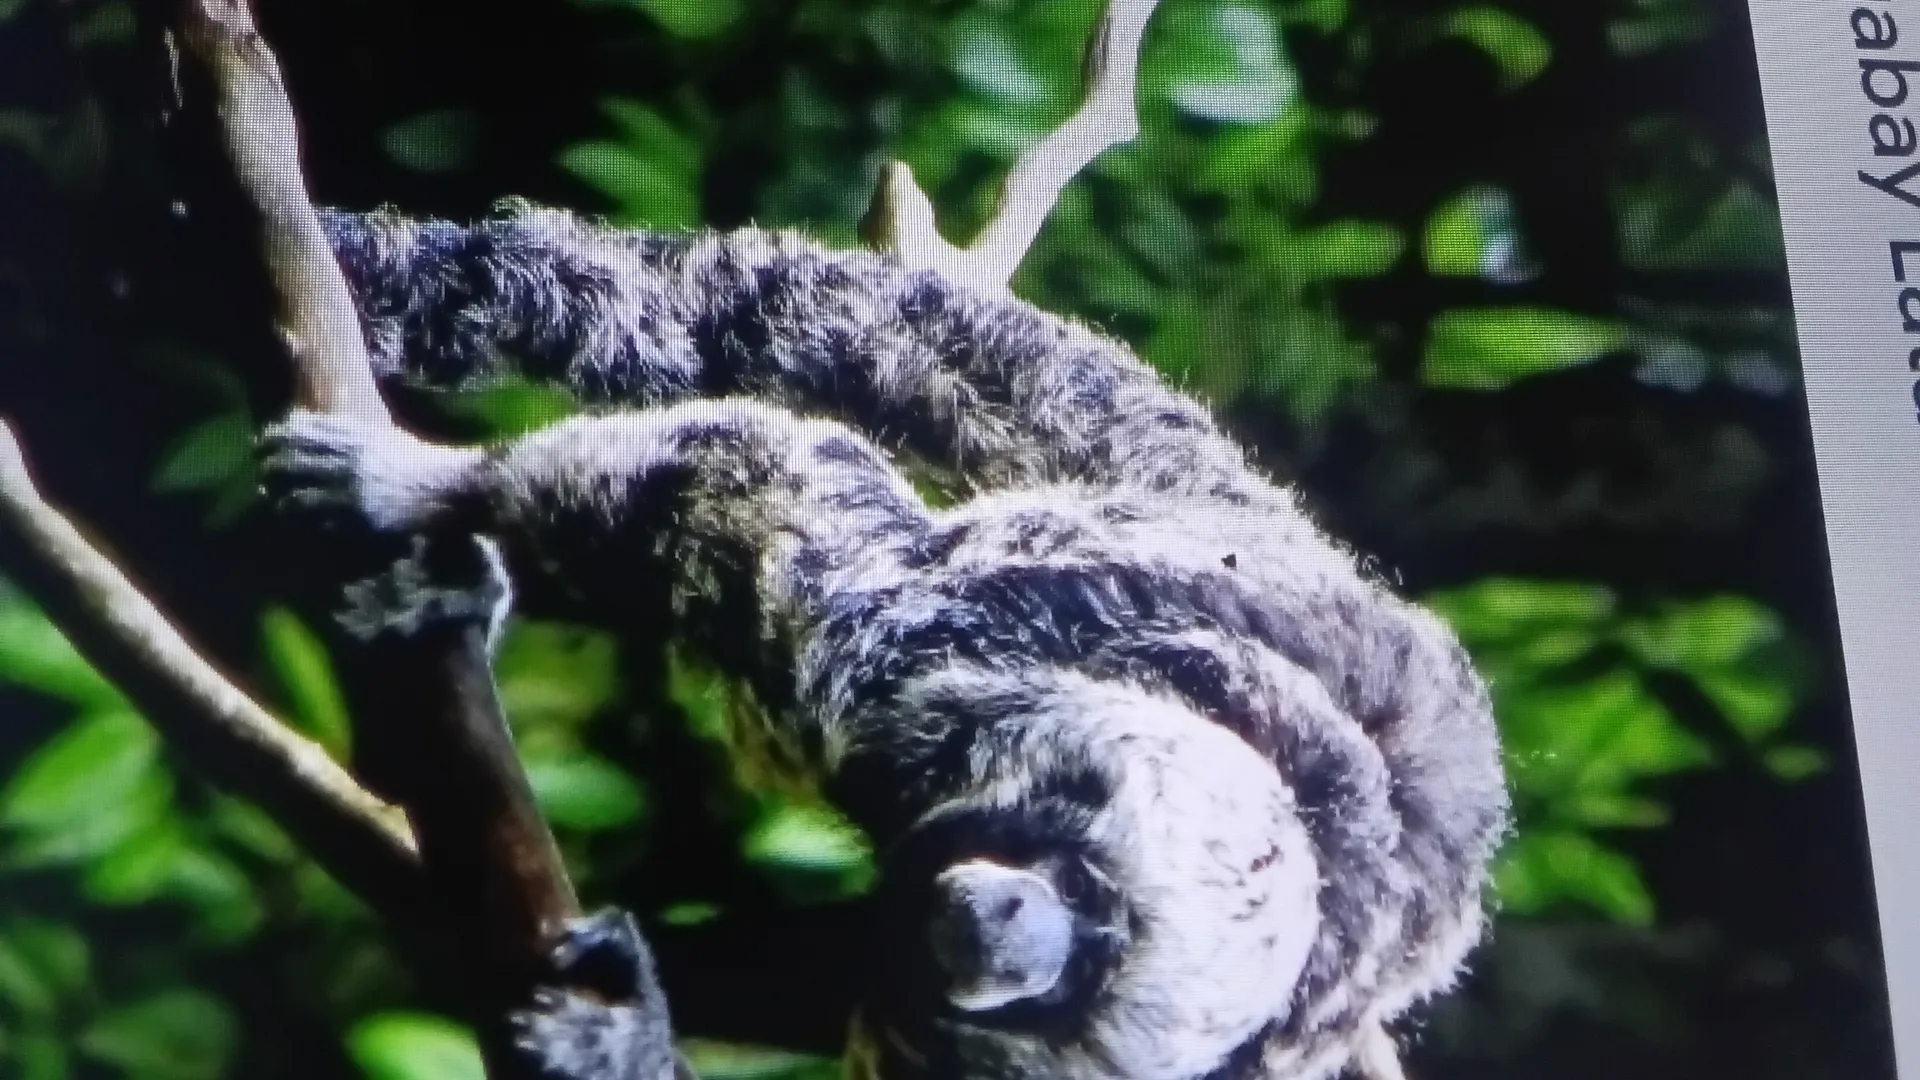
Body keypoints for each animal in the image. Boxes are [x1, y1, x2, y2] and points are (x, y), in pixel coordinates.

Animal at [259, 200, 1512, 1080]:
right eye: (1087, 892)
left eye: (1064, 987)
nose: (1008, 937)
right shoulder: (916, 664)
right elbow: (784, 495)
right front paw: (422, 489)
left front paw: (620, 1031)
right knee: (796, 318)